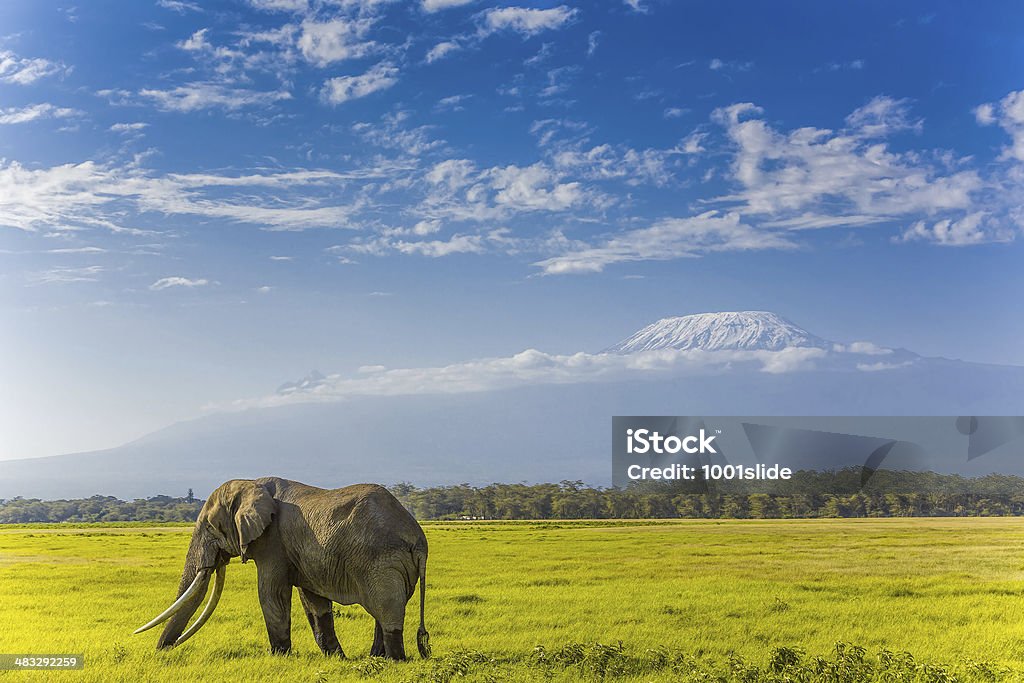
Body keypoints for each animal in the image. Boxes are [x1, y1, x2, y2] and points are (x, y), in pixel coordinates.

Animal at [133, 479, 428, 659]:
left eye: (211, 527)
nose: (161, 652)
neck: (251, 483)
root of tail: (418, 539)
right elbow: (314, 601)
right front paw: (336, 658)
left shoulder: (272, 542)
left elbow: (270, 594)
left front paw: (278, 656)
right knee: (384, 610)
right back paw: (376, 658)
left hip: (383, 562)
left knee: (387, 610)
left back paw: (395, 661)